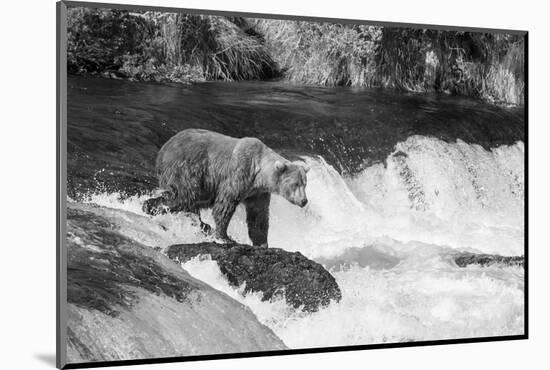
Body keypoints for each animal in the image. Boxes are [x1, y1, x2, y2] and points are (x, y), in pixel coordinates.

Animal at [142, 129, 310, 247]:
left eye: (305, 184)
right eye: (295, 184)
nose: (304, 201)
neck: (259, 173)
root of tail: (163, 150)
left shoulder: (257, 193)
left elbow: (259, 216)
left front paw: (262, 242)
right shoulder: (239, 174)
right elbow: (224, 205)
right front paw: (225, 237)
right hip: (188, 168)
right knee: (184, 195)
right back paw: (151, 206)